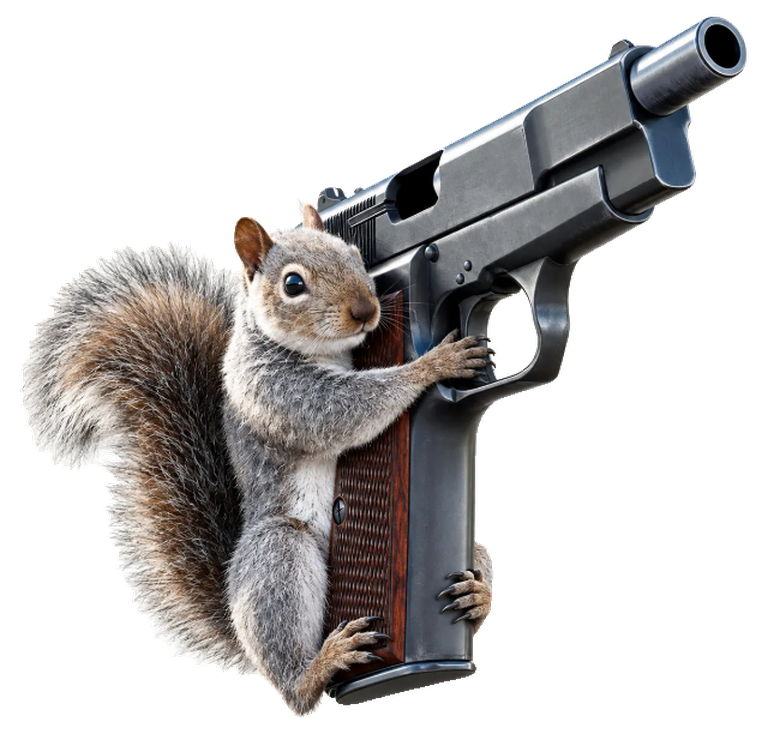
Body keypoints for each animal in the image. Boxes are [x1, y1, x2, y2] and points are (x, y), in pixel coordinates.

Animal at [20, 200, 495, 717]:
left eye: (353, 255)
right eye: (293, 284)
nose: (366, 311)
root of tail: (236, 611)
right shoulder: (274, 389)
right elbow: (345, 410)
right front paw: (431, 365)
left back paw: (477, 592)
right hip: (280, 553)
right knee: (294, 690)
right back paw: (321, 665)